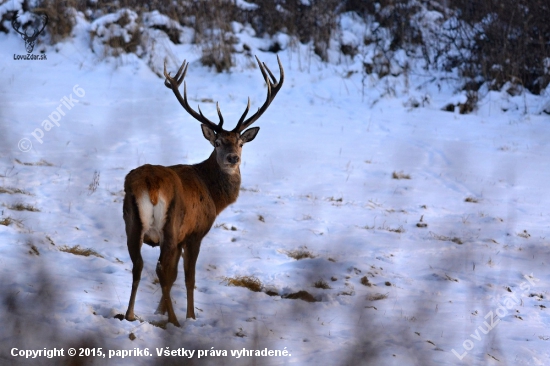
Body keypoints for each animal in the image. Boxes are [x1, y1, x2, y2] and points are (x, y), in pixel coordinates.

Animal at [121, 56, 284, 326]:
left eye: (240, 142)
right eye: (217, 142)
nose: (233, 158)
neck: (214, 197)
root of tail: (151, 185)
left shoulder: (180, 238)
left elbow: (172, 274)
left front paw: (159, 311)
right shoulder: (195, 232)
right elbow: (188, 277)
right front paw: (190, 315)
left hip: (132, 224)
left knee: (139, 266)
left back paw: (130, 314)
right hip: (171, 225)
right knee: (162, 270)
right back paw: (175, 321)